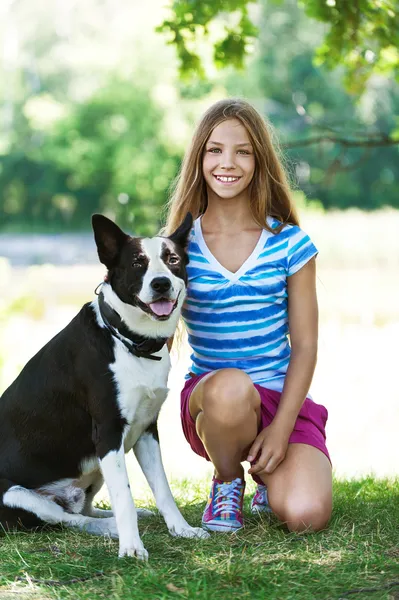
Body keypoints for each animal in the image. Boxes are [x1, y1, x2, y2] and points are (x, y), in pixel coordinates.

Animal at [0, 213, 208, 560]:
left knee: (82, 510)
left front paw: (182, 529)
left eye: (173, 260)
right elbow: (124, 497)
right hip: (16, 496)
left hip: (94, 470)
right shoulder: (109, 433)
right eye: (137, 263)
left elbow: (163, 489)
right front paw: (132, 547)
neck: (128, 340)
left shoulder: (147, 430)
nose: (161, 284)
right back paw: (111, 528)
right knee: (70, 520)